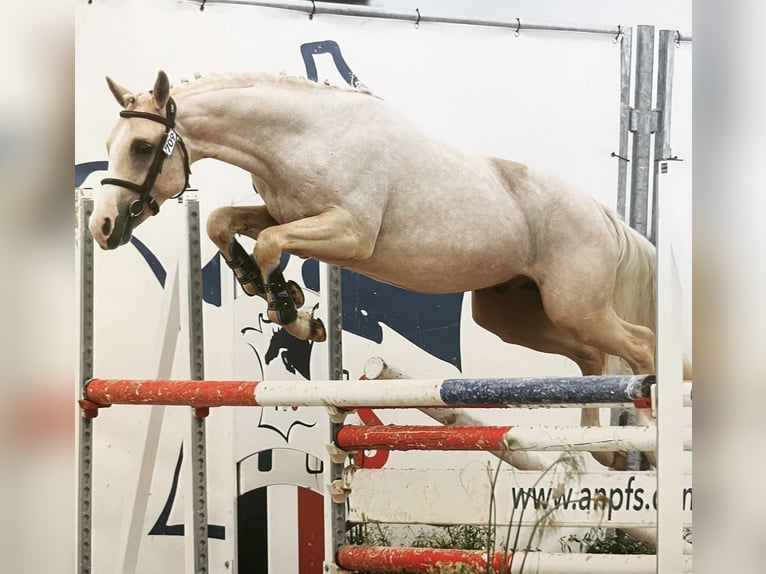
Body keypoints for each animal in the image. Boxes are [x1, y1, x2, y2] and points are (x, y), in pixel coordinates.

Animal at [91, 72, 684, 470]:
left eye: (142, 147)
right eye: (111, 145)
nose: (102, 226)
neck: (299, 137)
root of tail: (604, 216)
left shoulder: (349, 233)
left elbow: (270, 244)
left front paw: (290, 309)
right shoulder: (287, 213)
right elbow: (224, 223)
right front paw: (266, 289)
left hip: (575, 304)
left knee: (640, 344)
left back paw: (650, 435)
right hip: (515, 316)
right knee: (593, 358)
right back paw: (600, 452)